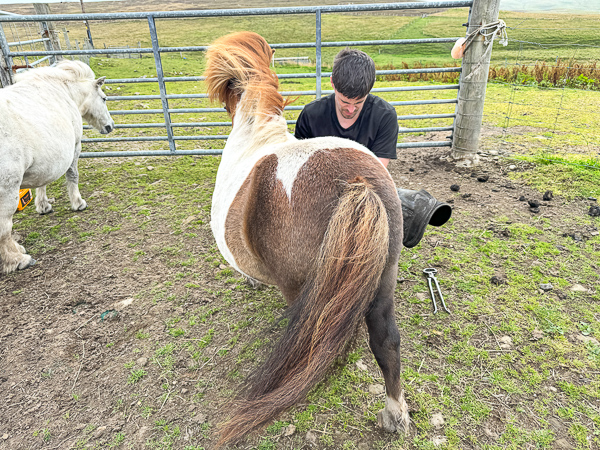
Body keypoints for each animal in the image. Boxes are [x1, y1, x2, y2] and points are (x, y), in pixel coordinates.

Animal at [0, 60, 113, 274]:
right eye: (104, 99)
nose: (111, 126)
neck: (64, 91)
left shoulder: (46, 159)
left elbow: (42, 182)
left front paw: (43, 206)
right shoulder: (75, 146)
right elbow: (72, 175)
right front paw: (78, 203)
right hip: (7, 189)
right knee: (4, 227)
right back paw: (17, 259)